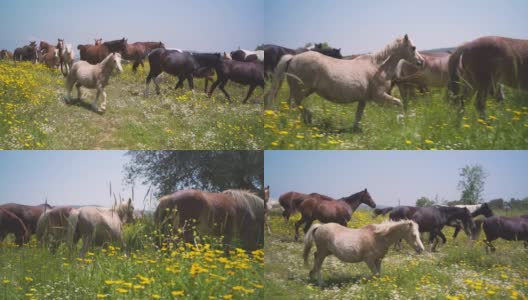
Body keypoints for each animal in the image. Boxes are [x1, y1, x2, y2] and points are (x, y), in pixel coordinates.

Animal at [264, 34, 424, 132]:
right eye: (413, 47)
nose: (421, 62)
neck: (378, 67)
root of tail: (292, 58)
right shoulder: (379, 97)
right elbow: (400, 103)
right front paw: (401, 121)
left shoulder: (363, 100)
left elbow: (358, 116)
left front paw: (355, 130)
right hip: (301, 90)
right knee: (294, 104)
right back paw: (305, 119)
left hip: (302, 90)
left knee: (290, 104)